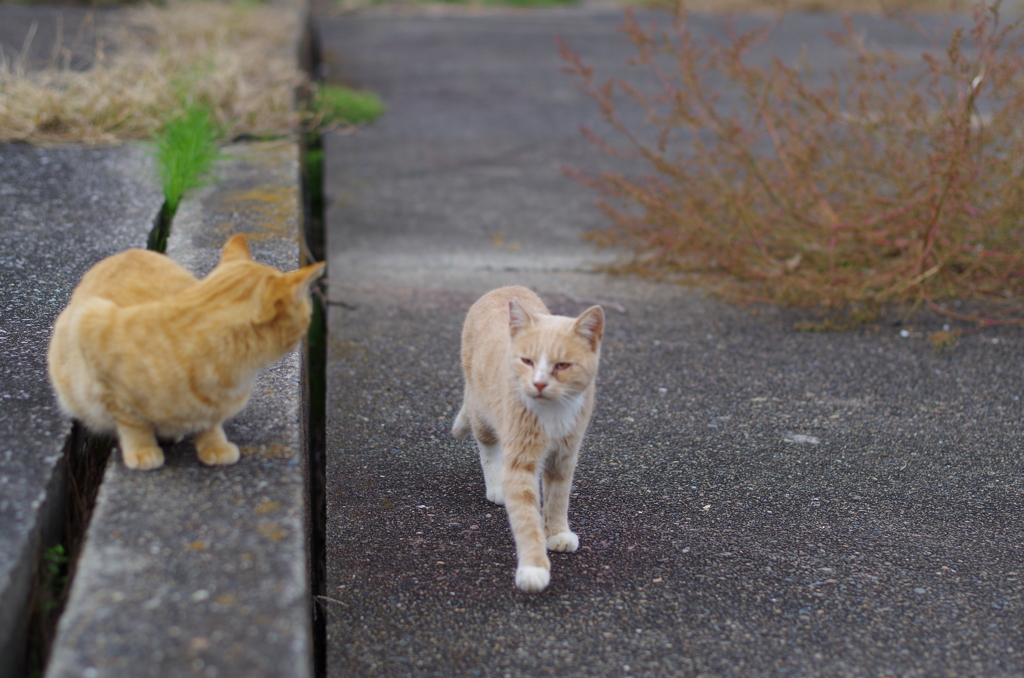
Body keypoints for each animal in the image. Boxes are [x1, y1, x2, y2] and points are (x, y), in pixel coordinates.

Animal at [45, 236, 319, 471]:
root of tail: (126, 252)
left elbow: (210, 422)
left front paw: (214, 445)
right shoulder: (93, 330)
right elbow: (133, 423)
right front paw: (142, 450)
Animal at [452, 286, 602, 594]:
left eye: (562, 365)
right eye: (527, 361)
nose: (539, 383)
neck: (552, 411)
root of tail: (504, 288)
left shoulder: (564, 456)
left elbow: (558, 498)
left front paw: (556, 533)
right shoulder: (521, 461)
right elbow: (526, 518)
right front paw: (534, 568)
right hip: (482, 413)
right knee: (488, 448)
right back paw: (496, 486)